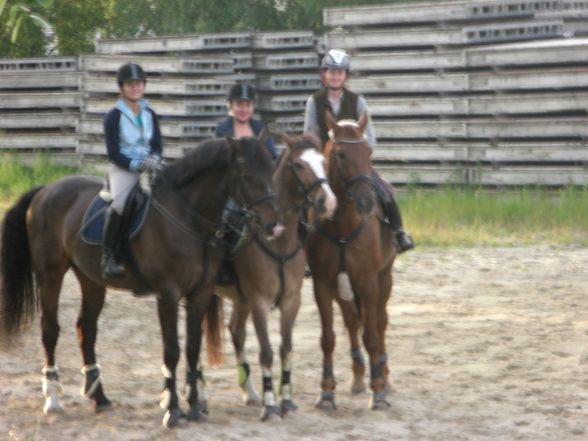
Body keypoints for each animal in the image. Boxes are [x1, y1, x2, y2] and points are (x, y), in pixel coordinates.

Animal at [0, 138, 282, 426]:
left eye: (272, 170)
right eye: (247, 175)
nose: (273, 224)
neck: (188, 217)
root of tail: (46, 190)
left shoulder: (200, 293)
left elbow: (192, 348)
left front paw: (194, 407)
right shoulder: (168, 294)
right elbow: (172, 350)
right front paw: (173, 410)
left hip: (91, 279)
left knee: (86, 329)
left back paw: (100, 398)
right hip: (50, 275)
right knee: (50, 330)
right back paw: (53, 399)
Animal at [208, 133, 336, 420]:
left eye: (324, 162)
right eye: (299, 165)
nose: (328, 202)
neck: (279, 240)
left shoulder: (290, 301)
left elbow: (286, 349)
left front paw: (286, 401)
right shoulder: (259, 302)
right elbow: (266, 352)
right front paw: (270, 405)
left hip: (241, 300)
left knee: (236, 332)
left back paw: (249, 393)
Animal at [306, 112, 398, 410]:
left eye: (368, 152)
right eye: (341, 154)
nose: (366, 202)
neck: (342, 228)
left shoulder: (368, 282)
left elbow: (372, 336)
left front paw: (378, 390)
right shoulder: (323, 285)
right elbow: (328, 339)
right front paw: (326, 392)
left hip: (384, 279)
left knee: (379, 322)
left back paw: (383, 375)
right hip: (343, 290)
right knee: (352, 322)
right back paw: (358, 377)